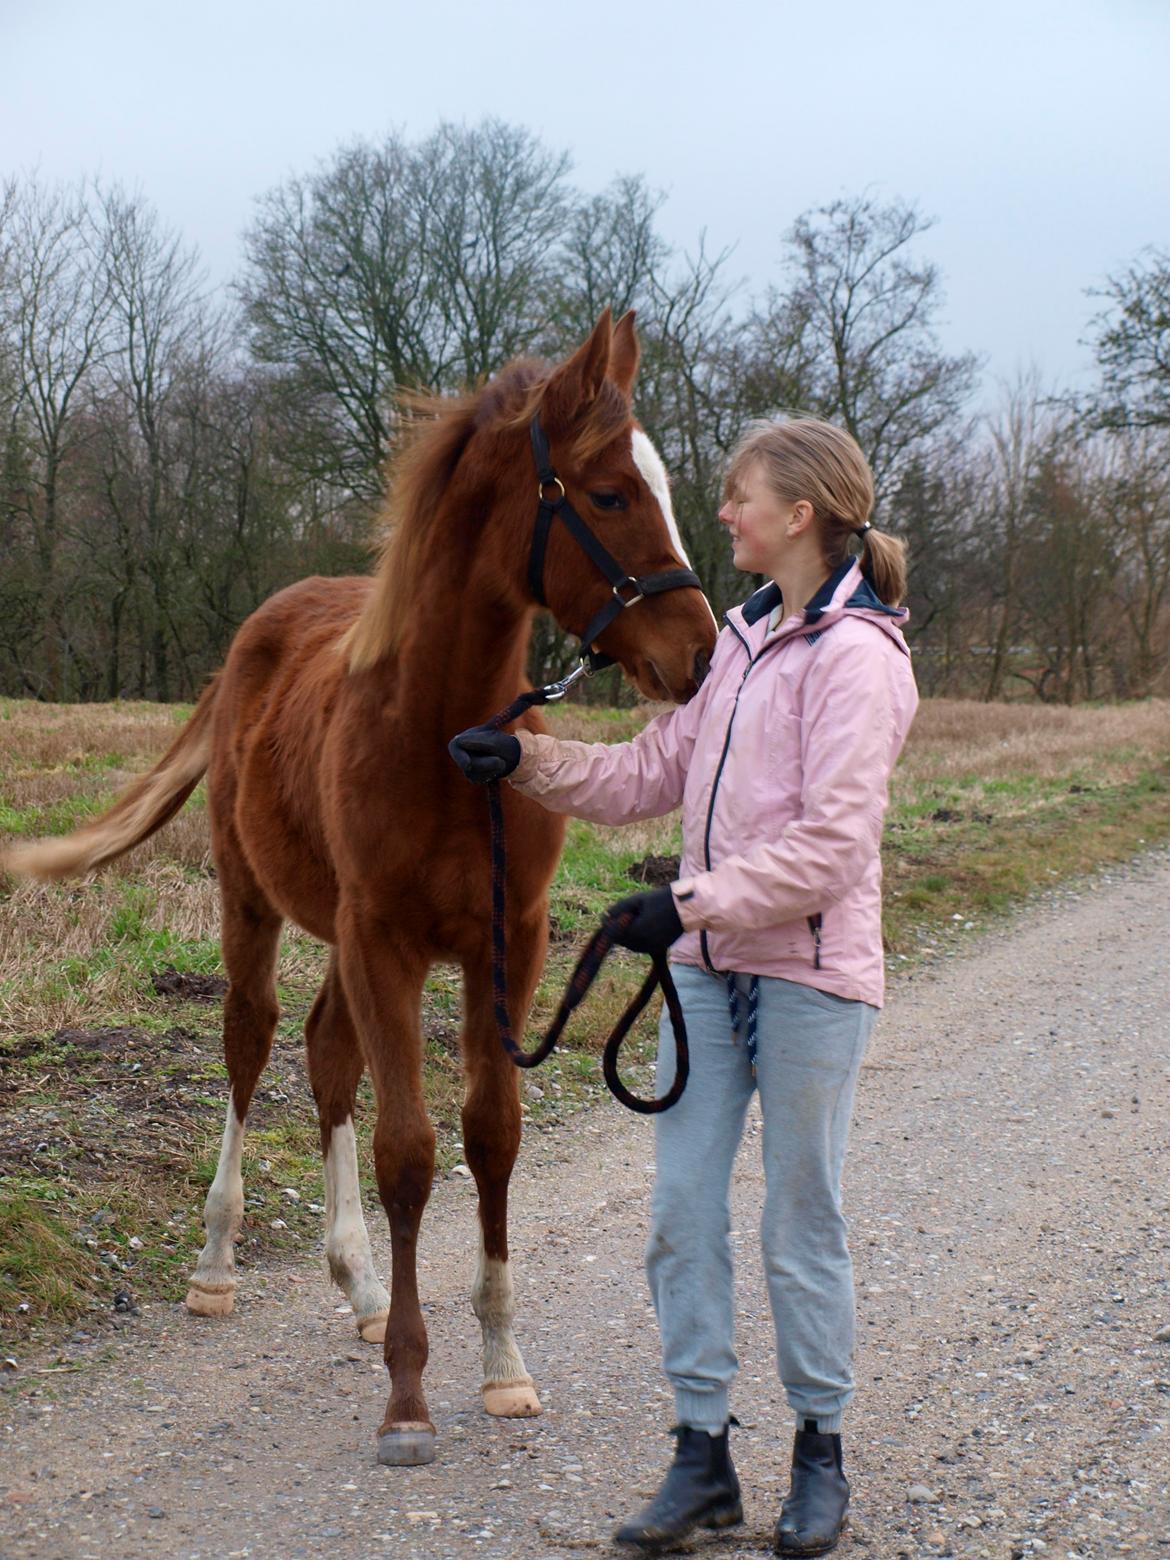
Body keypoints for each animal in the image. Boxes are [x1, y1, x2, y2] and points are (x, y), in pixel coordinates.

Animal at [6, 310, 723, 1466]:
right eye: (612, 492)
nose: (698, 653)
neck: (446, 735)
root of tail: (250, 642)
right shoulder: (384, 938)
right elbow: (408, 1151)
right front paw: (408, 1398)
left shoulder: (505, 941)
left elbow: (491, 1134)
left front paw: (503, 1365)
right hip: (255, 908)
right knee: (253, 1043)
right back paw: (218, 1264)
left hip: (341, 938)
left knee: (325, 1052)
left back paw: (357, 1281)